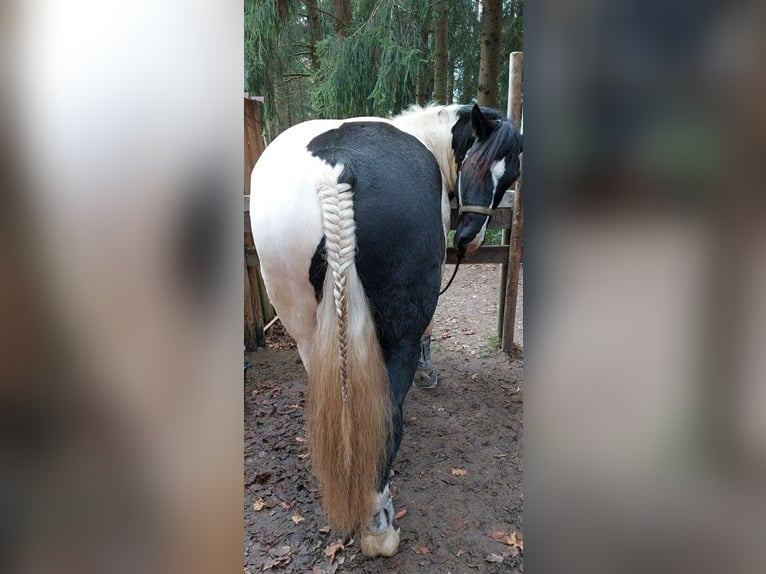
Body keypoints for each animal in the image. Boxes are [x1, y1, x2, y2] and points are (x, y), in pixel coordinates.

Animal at [249, 103, 522, 557]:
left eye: (510, 176)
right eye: (482, 168)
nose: (469, 238)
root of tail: (339, 170)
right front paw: (430, 373)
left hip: (303, 327)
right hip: (396, 335)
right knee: (387, 418)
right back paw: (380, 529)